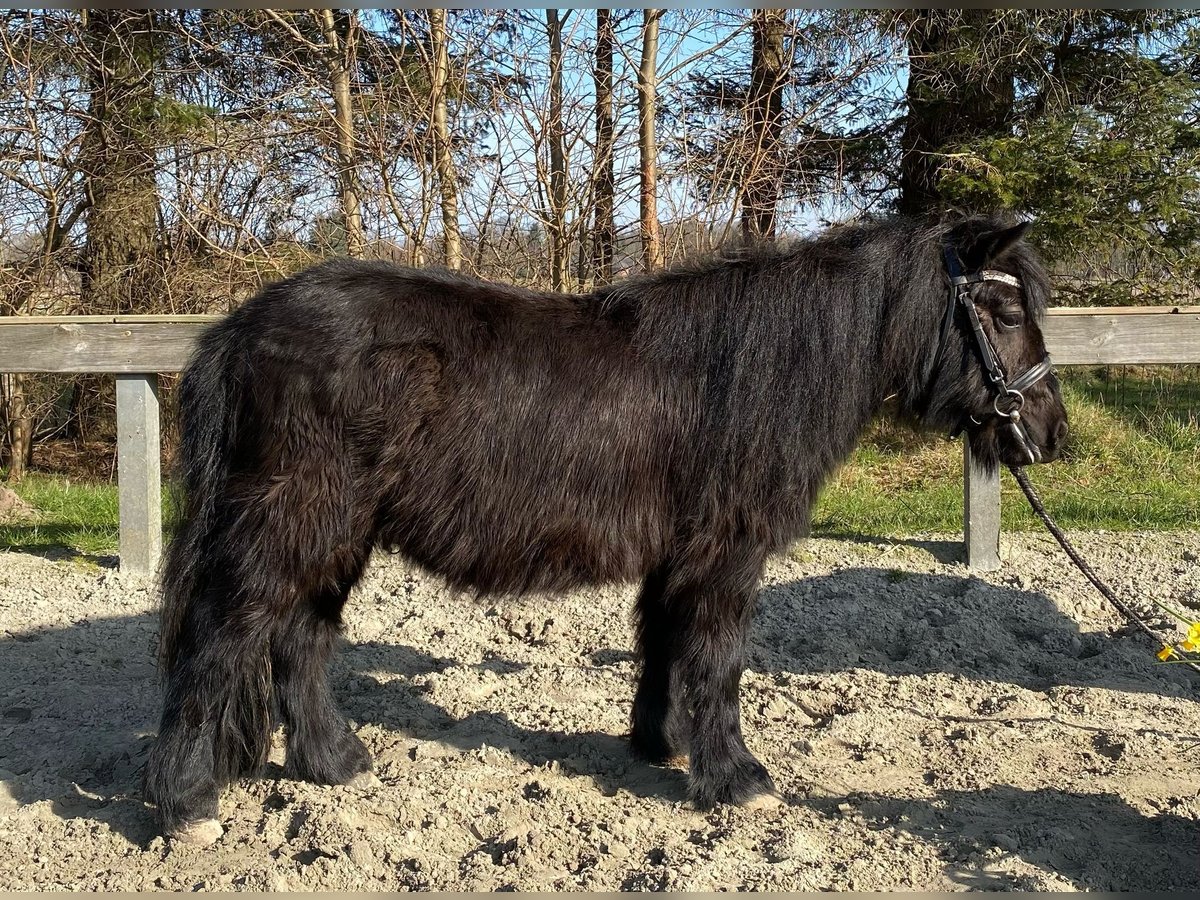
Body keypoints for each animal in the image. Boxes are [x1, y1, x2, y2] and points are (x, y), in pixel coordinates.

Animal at [142, 217, 1070, 844]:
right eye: (1002, 310)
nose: (1051, 434)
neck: (748, 373)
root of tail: (241, 327)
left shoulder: (678, 554)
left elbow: (662, 643)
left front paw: (660, 746)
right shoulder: (726, 554)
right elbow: (718, 662)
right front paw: (736, 777)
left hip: (335, 530)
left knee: (300, 638)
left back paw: (332, 763)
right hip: (291, 520)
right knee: (224, 637)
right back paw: (189, 804)